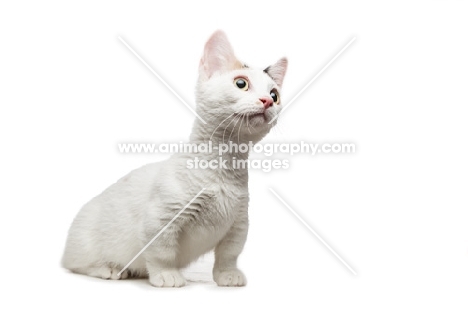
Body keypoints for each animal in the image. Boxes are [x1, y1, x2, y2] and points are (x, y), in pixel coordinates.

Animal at [62, 30, 288, 288]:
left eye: (275, 95)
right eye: (241, 83)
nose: (267, 101)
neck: (225, 166)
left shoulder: (238, 225)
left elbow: (229, 254)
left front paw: (227, 275)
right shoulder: (159, 221)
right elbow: (162, 253)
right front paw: (166, 275)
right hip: (84, 245)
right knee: (77, 265)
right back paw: (110, 269)